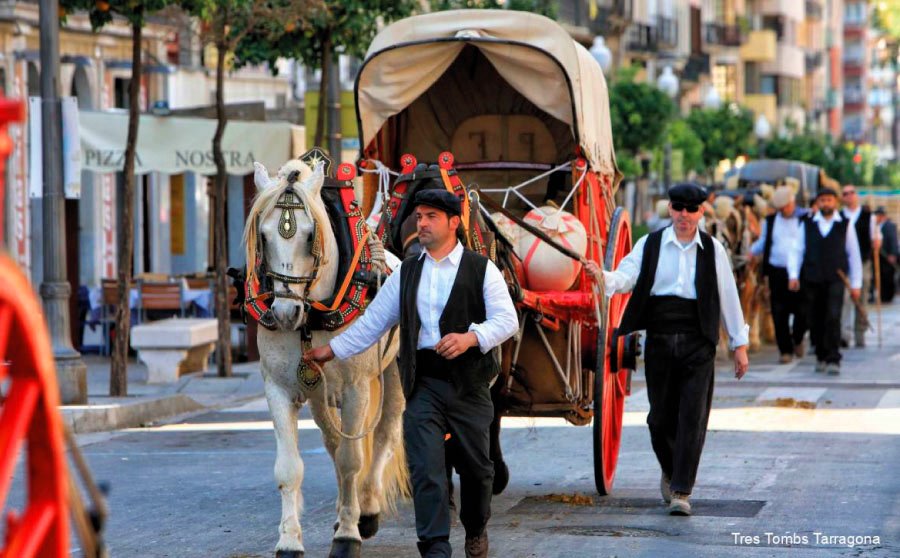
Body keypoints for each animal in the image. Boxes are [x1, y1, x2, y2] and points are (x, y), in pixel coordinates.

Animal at [241, 159, 406, 558]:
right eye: (263, 236)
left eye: (308, 235)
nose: (285, 313)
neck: (311, 319)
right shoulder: (279, 388)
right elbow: (290, 467)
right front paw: (289, 540)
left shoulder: (357, 389)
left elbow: (351, 461)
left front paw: (348, 535)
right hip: (319, 394)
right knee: (333, 440)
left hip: (393, 373)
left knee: (385, 430)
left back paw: (367, 508)